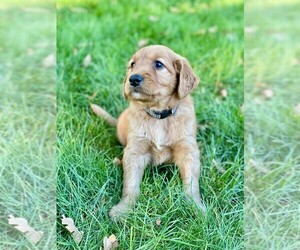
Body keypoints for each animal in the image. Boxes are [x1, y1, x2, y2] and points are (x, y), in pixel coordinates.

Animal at [91, 44, 204, 219]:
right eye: (132, 65)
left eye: (158, 64)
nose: (133, 79)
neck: (159, 115)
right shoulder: (135, 151)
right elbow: (130, 184)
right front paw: (124, 209)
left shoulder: (188, 150)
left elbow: (191, 184)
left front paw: (195, 207)